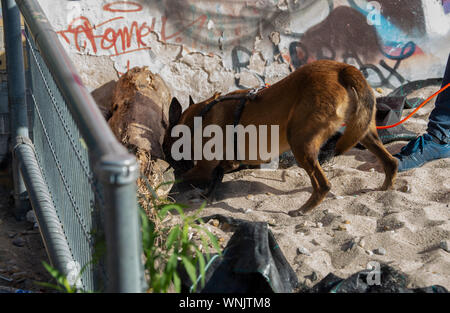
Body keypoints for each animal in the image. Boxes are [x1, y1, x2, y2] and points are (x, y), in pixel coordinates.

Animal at [164, 59, 398, 214]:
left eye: (166, 149)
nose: (169, 162)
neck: (199, 117)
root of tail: (342, 69)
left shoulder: (203, 166)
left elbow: (190, 177)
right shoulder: (225, 163)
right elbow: (218, 174)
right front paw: (208, 195)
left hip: (300, 142)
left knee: (323, 185)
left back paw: (303, 210)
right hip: (364, 132)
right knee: (391, 162)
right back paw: (385, 189)